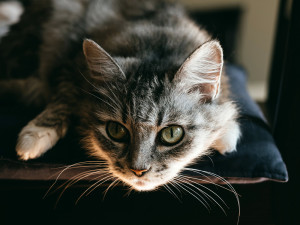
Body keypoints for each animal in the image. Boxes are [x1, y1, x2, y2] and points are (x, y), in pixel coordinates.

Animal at [0, 0, 239, 192]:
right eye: (116, 131)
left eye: (171, 134)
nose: (138, 171)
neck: (155, 47)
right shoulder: (69, 63)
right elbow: (64, 97)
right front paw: (34, 136)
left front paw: (226, 133)